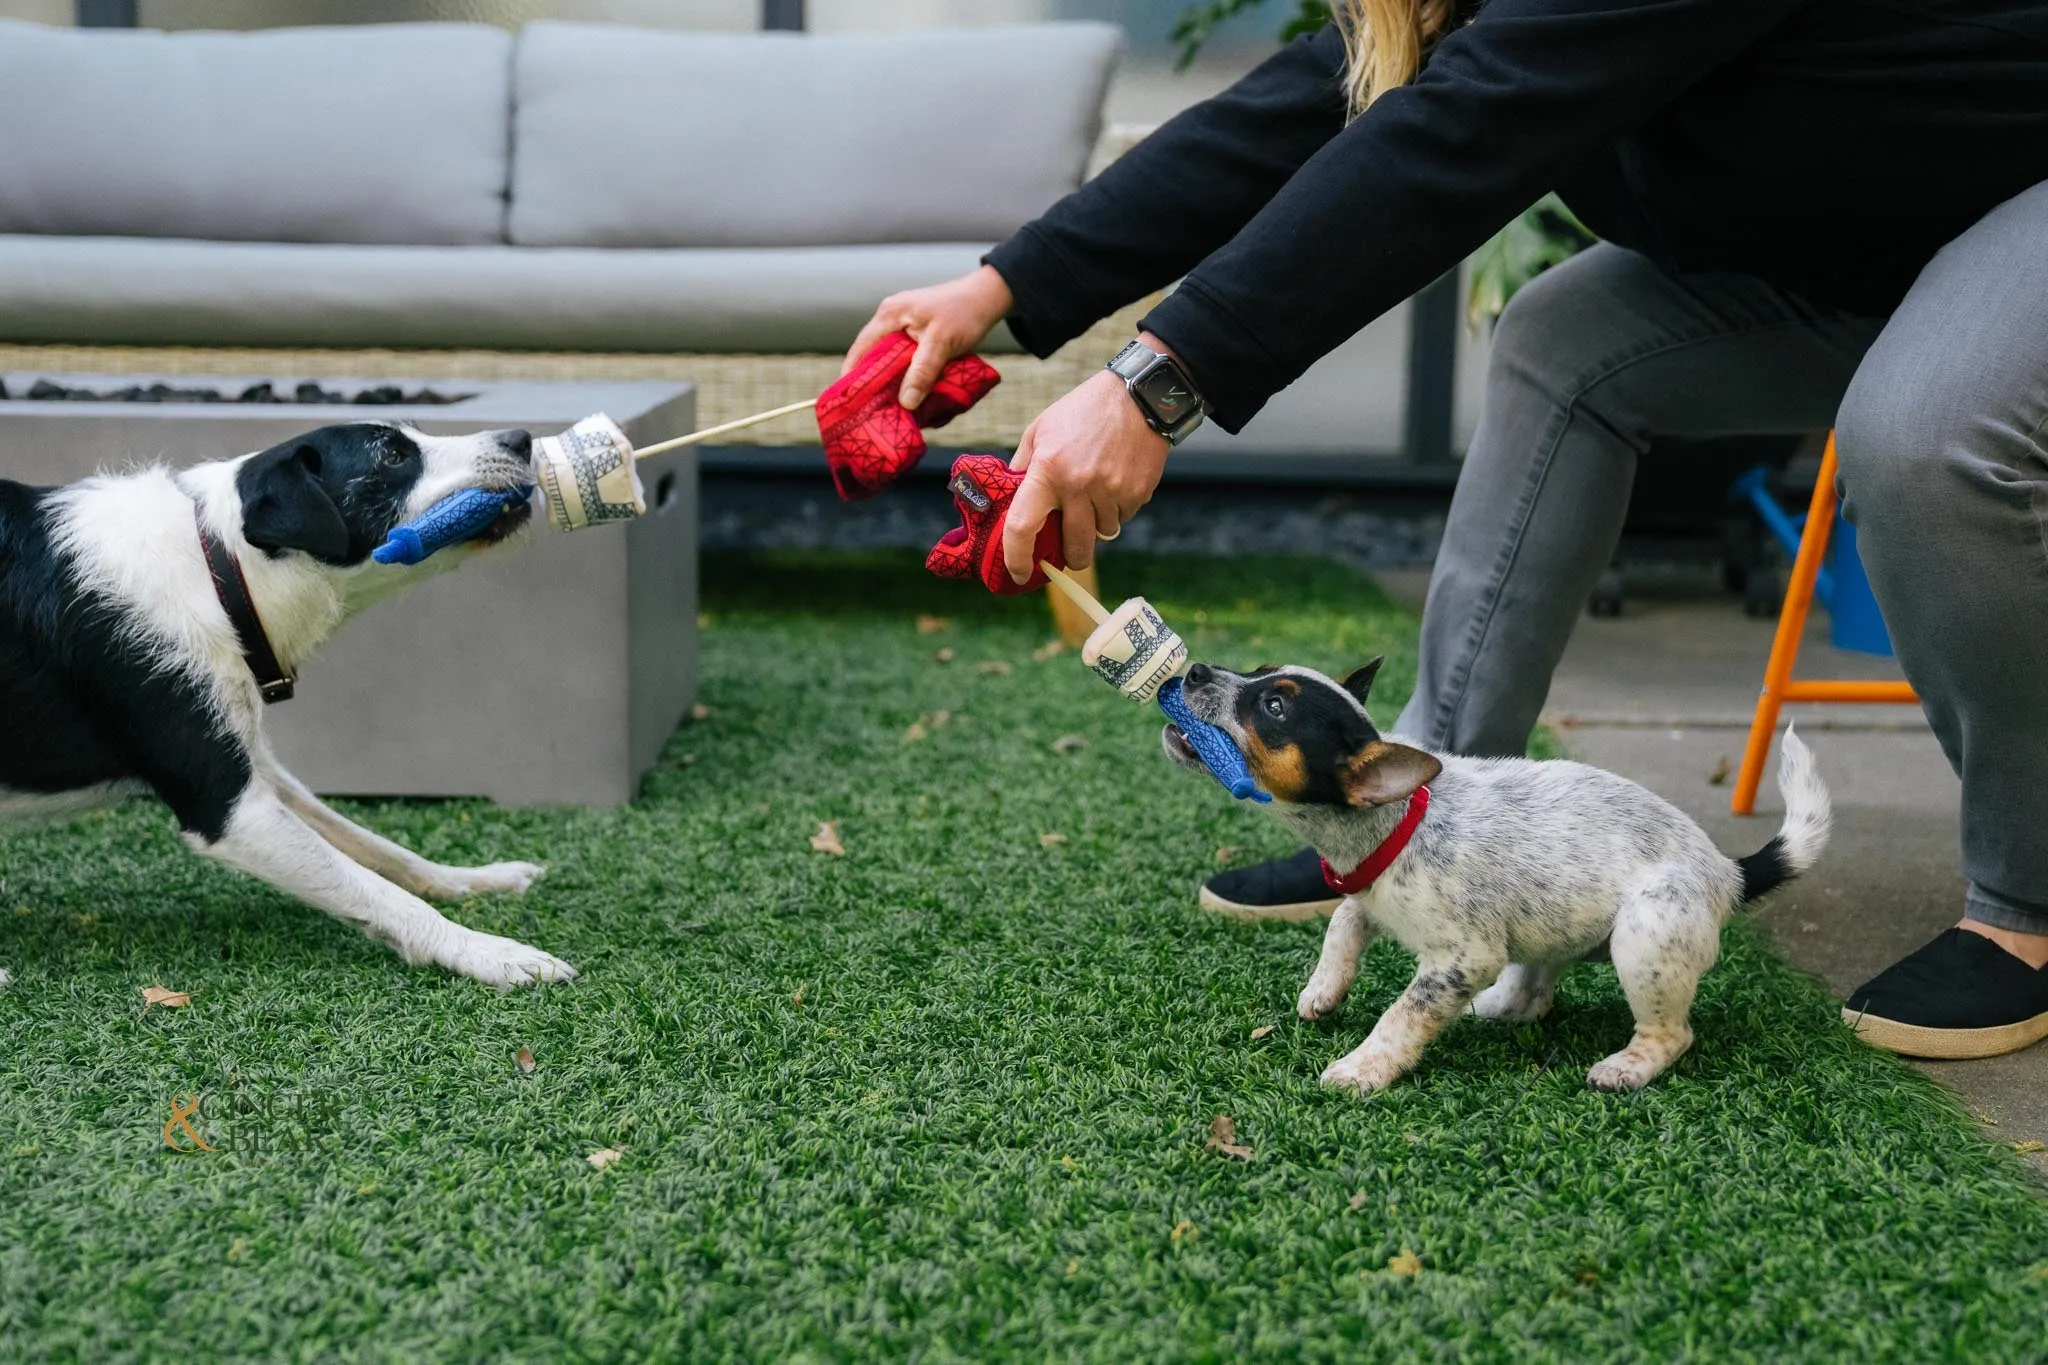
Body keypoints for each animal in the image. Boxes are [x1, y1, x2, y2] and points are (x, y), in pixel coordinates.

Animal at [2, 421, 577, 986]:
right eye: (392, 456)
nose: (522, 439)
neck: (218, 568)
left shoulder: (256, 762)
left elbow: (378, 847)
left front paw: (474, 879)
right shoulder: (231, 809)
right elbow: (380, 891)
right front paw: (489, 952)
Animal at [1163, 654, 1835, 1096]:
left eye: (1272, 707)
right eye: (1258, 671)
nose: (1192, 671)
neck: (1401, 822)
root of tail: (1728, 872)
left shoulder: (1463, 957)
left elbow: (1402, 1015)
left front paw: (1364, 1067)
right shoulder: (1367, 893)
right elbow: (1342, 923)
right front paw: (1323, 990)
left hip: (1646, 938)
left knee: (1672, 1033)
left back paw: (1627, 1066)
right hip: (1557, 925)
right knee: (1537, 989)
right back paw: (1502, 1004)